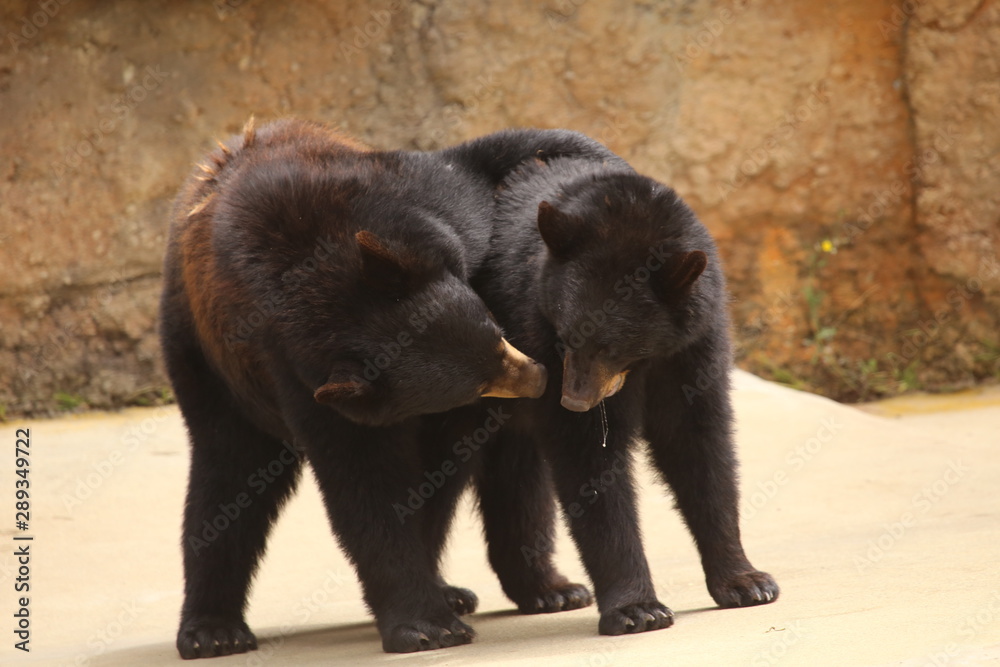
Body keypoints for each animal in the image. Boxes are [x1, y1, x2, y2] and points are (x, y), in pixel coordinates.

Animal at [159, 118, 555, 658]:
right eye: (475, 385)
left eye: (496, 331)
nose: (537, 378)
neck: (322, 286)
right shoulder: (298, 375)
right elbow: (365, 481)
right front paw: (427, 625)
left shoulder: (424, 212)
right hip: (206, 368)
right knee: (226, 478)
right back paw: (212, 631)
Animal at [421, 129, 780, 635]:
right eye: (566, 332)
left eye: (611, 345)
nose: (574, 399)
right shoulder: (535, 331)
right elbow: (592, 460)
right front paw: (637, 608)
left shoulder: (693, 348)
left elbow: (698, 444)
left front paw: (746, 581)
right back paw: (444, 595)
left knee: (518, 477)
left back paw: (547, 589)